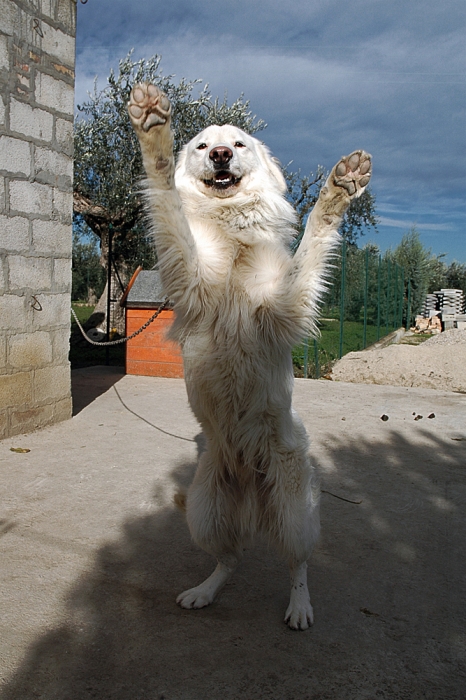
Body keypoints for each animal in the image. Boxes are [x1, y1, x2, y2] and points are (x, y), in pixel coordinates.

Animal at [127, 82, 372, 628]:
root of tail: (252, 483)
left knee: (297, 562)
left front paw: (339, 188)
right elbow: (168, 203)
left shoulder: (284, 308)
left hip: (294, 511)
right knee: (231, 558)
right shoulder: (189, 274)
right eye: (201, 146)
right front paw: (153, 130)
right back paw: (204, 591)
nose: (220, 155)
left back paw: (299, 606)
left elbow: (311, 246)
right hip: (206, 511)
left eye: (238, 144)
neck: (233, 232)